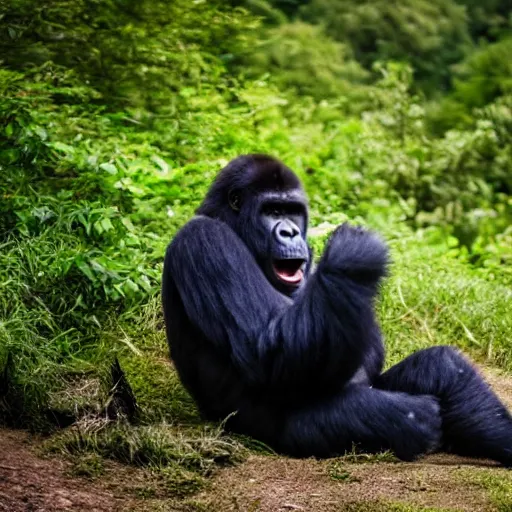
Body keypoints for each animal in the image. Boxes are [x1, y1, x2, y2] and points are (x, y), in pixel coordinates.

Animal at [162, 153, 512, 464]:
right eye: (272, 211)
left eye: (293, 212)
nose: (289, 231)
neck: (227, 219)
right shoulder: (205, 240)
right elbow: (264, 353)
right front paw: (353, 256)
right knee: (403, 416)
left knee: (439, 365)